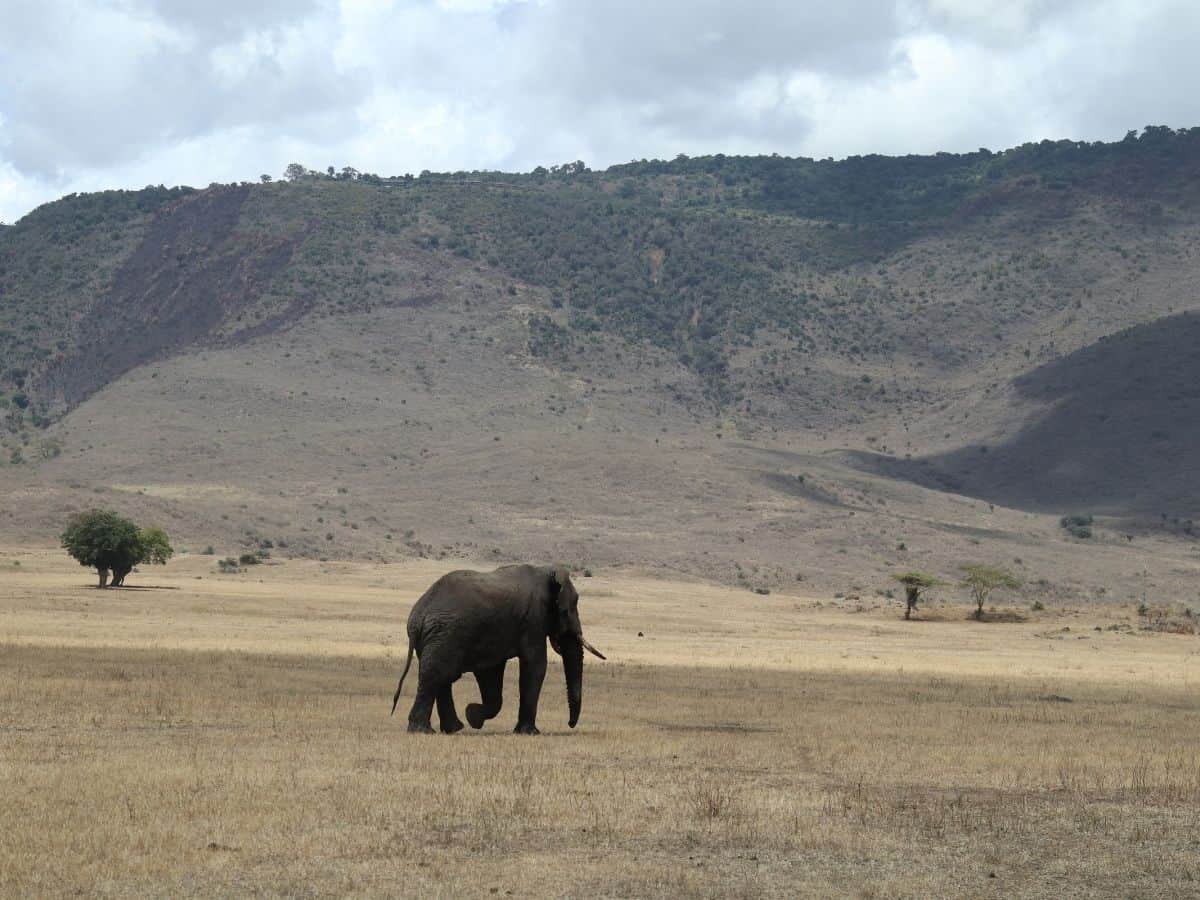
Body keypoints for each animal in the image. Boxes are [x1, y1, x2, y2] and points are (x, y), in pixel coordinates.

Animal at [390, 564, 605, 734]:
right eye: (567, 611)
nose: (570, 724)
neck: (546, 571)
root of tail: (417, 617)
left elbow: (490, 673)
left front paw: (473, 716)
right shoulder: (533, 619)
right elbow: (535, 665)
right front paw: (529, 733)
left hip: (439, 637)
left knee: (443, 677)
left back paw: (452, 729)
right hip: (445, 634)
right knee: (436, 675)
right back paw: (423, 730)